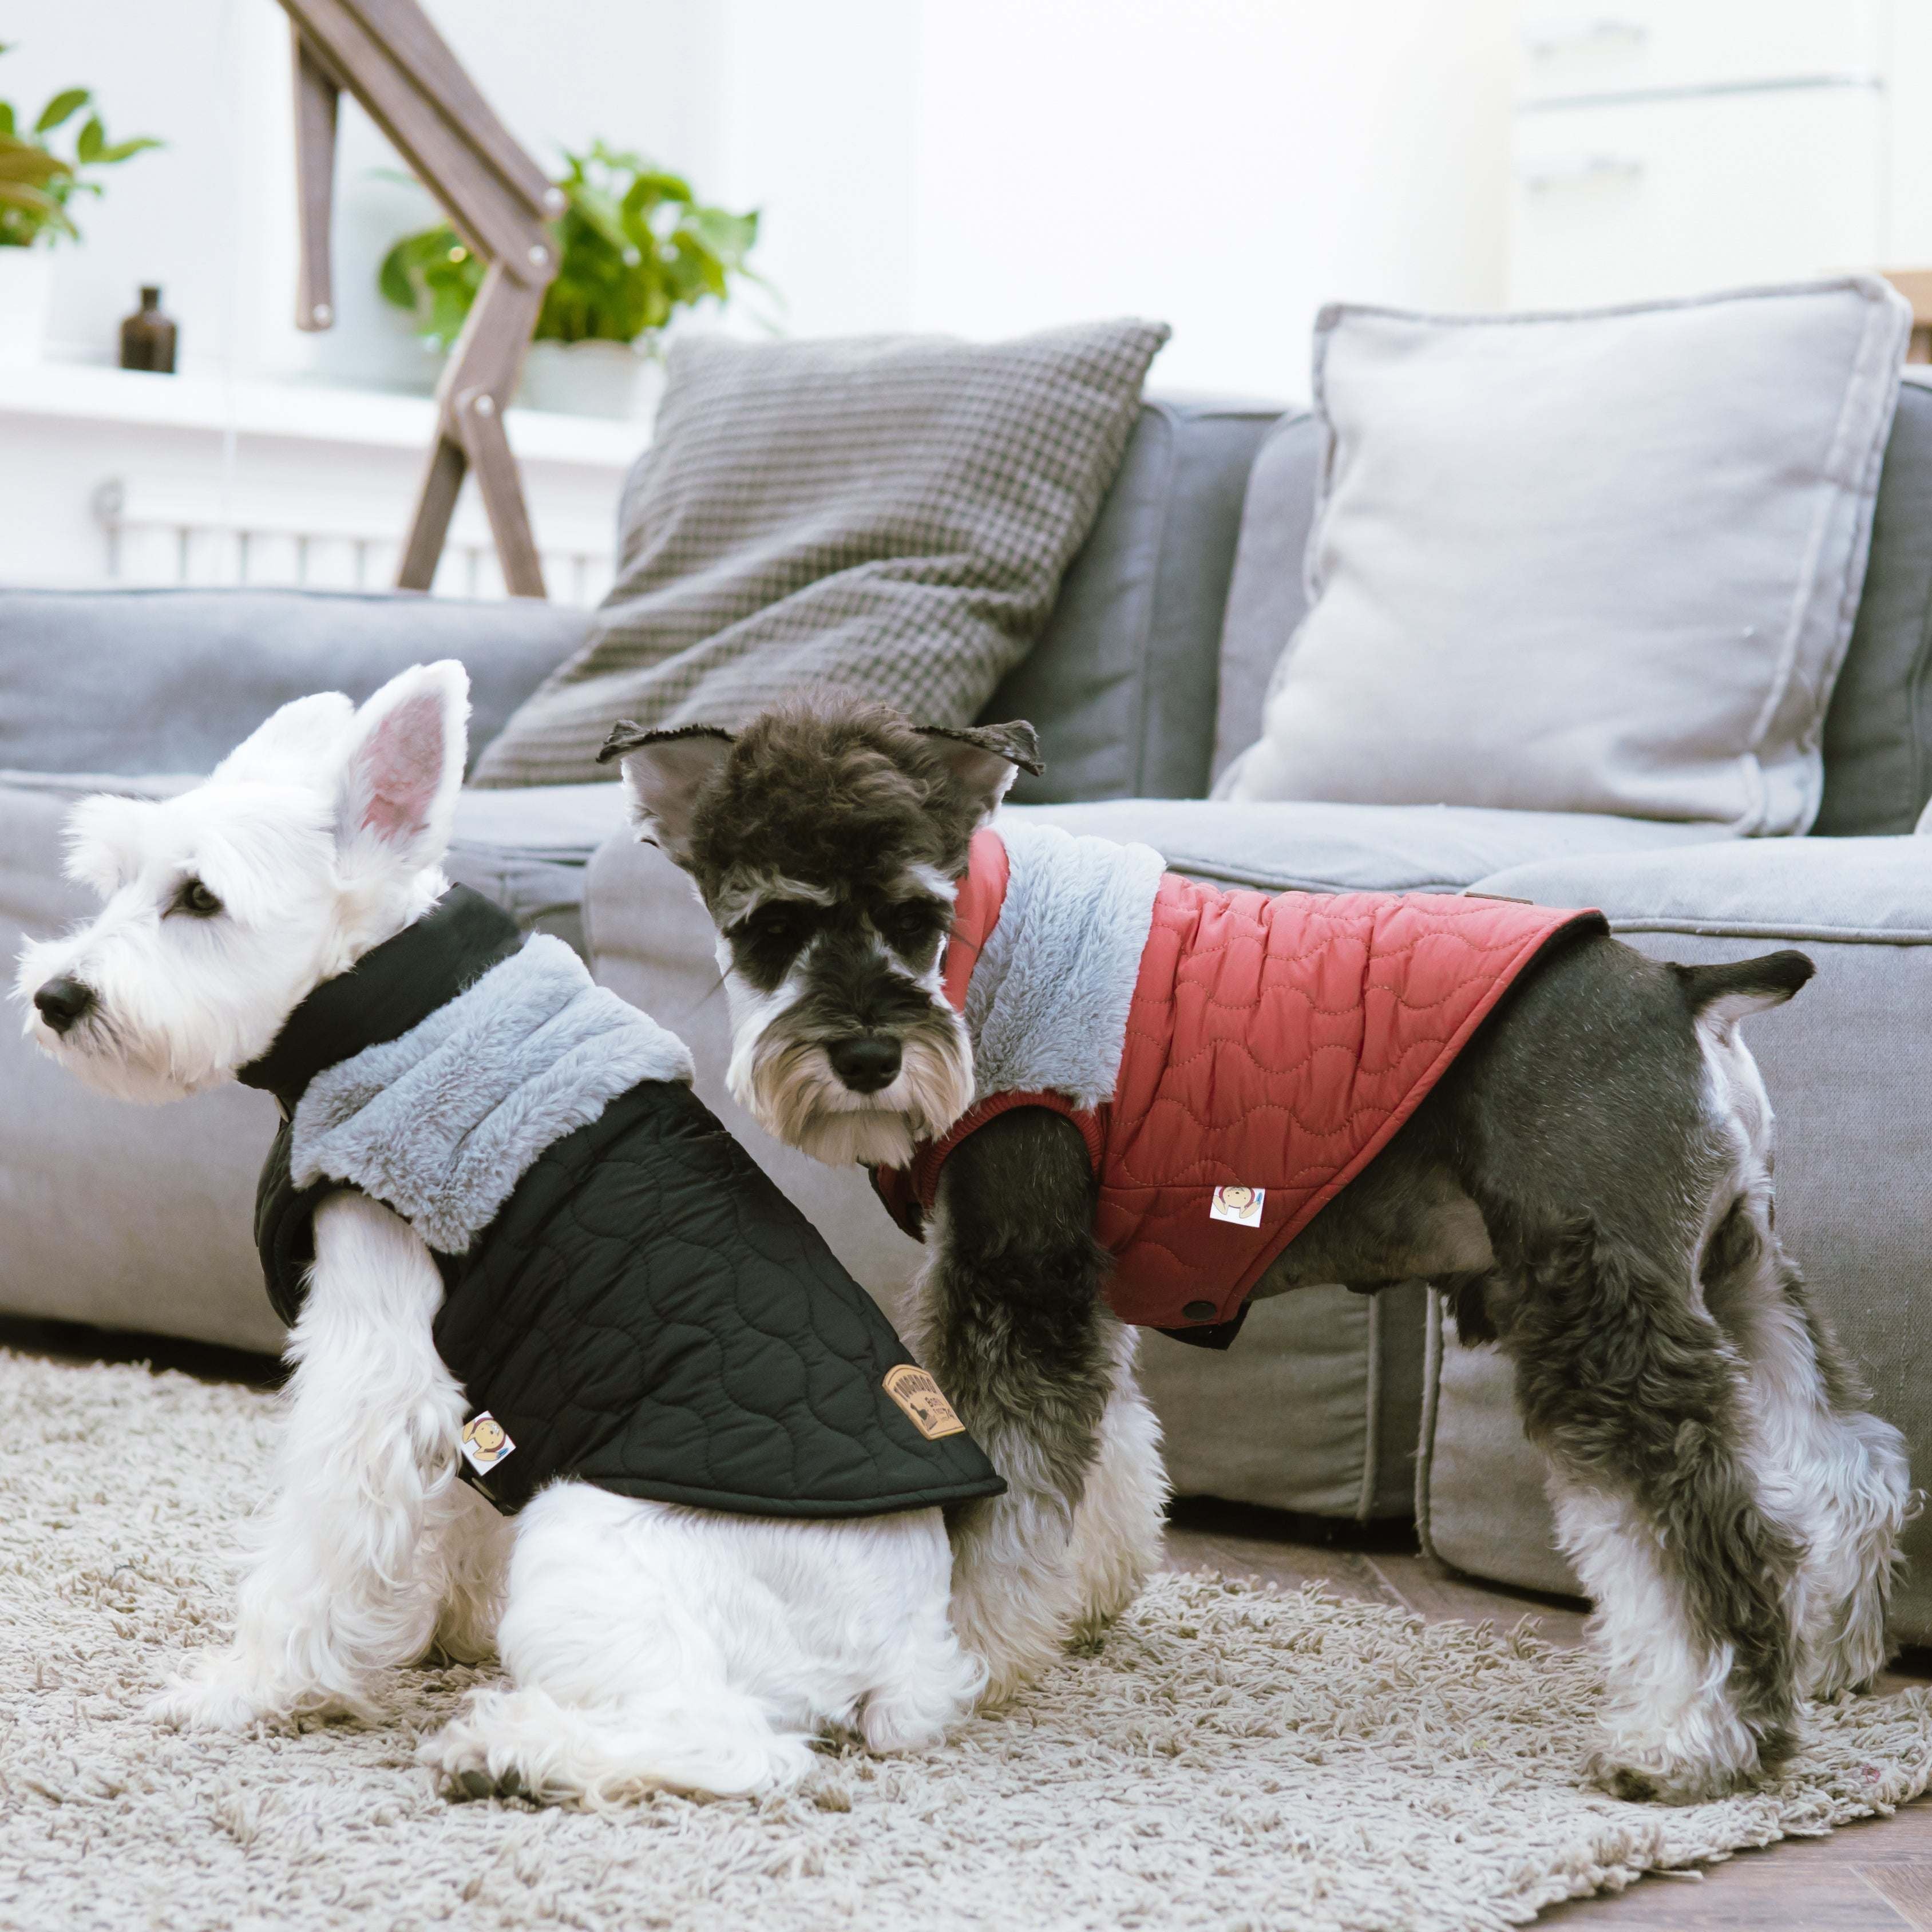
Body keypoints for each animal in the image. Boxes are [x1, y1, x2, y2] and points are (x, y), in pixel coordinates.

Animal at [14, 665, 994, 1807]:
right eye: (119, 879)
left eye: (201, 899)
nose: (56, 996)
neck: (387, 1008)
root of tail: (911, 1654)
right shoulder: (493, 1396)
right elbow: (457, 1510)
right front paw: (441, 1627)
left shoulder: (374, 1361)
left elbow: (317, 1546)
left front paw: (249, 1688)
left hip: (587, 1553)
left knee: (736, 1746)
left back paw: (512, 1749)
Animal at [603, 694, 1914, 1805]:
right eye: (773, 924)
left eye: (917, 916)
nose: (869, 1056)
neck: (983, 955)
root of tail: (1681, 987)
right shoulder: (1075, 1282)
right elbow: (1105, 1451)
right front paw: (1078, 1604)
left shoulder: (1012, 1273)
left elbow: (1003, 1482)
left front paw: (942, 1659)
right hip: (1729, 1272)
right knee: (1839, 1459)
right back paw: (1829, 1651)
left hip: (1599, 1308)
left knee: (1700, 1519)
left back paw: (1700, 1735)